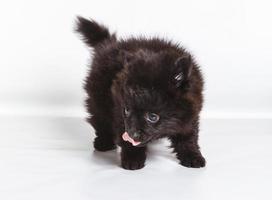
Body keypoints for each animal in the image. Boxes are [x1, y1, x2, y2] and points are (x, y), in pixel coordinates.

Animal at [75, 17, 205, 170]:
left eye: (153, 117)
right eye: (126, 110)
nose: (132, 133)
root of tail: (110, 44)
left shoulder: (191, 115)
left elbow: (188, 137)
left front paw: (193, 156)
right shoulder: (118, 112)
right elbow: (127, 139)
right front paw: (133, 159)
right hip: (97, 99)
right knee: (100, 121)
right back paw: (103, 143)